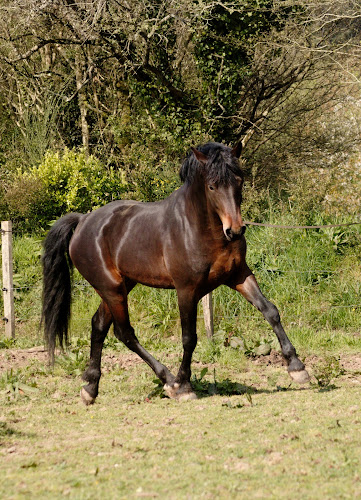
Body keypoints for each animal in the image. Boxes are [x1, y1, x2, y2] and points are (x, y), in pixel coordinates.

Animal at [41, 143, 306, 404]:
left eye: (239, 181)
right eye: (212, 186)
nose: (235, 230)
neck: (201, 229)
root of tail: (83, 221)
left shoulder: (239, 275)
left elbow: (270, 311)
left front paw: (297, 367)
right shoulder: (186, 290)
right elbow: (189, 337)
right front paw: (184, 385)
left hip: (121, 286)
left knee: (99, 325)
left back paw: (90, 388)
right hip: (111, 288)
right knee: (124, 332)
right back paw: (168, 381)